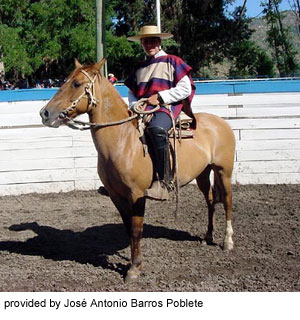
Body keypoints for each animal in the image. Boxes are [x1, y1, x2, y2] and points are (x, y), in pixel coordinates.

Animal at [40, 58, 237, 282]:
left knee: (227, 201)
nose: (45, 113)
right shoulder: (116, 195)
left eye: (77, 84)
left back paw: (227, 241)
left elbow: (136, 229)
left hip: (223, 171)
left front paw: (134, 269)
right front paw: (134, 262)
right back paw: (207, 236)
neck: (122, 140)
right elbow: (128, 228)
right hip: (203, 174)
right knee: (211, 200)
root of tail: (221, 123)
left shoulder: (137, 194)